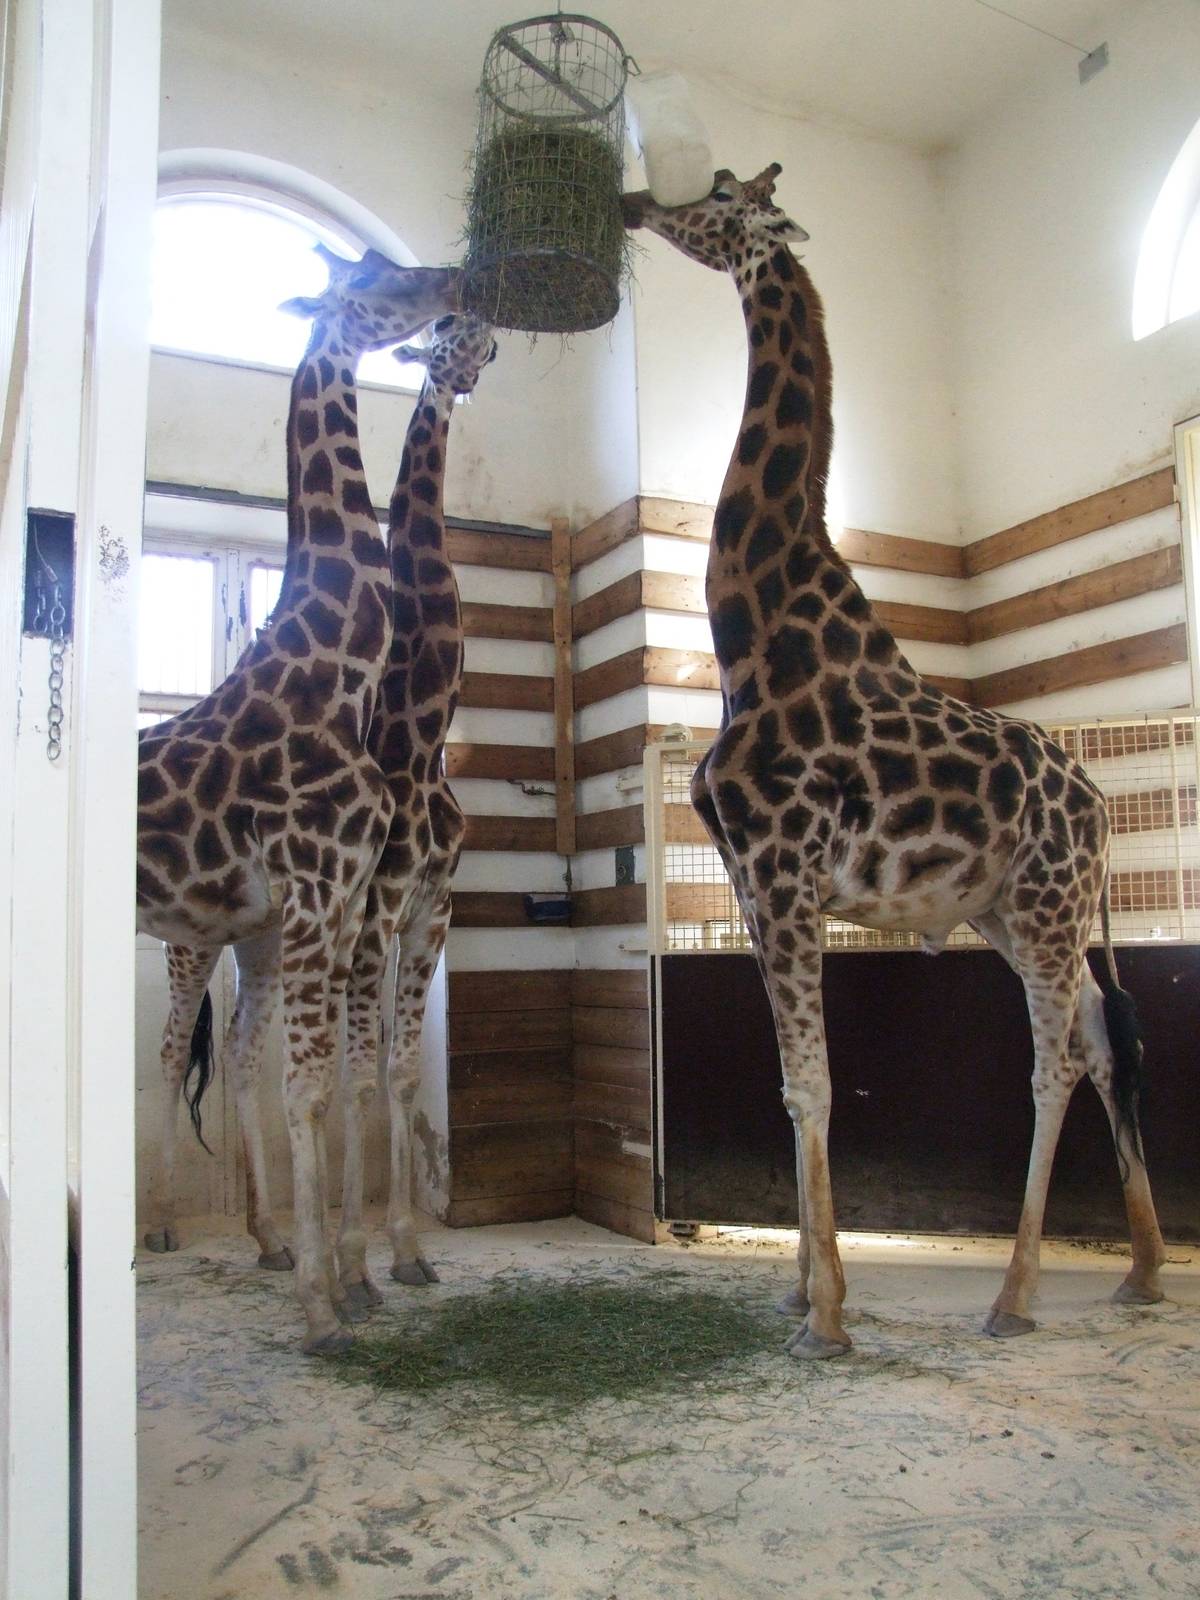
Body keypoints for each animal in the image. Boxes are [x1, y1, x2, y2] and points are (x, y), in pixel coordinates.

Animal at [138, 246, 460, 1353]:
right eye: (375, 286)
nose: (455, 288)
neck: (338, 670)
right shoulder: (331, 893)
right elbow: (317, 1081)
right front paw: (330, 1301)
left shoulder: (353, 901)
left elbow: (326, 1078)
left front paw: (341, 1276)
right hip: (188, 938)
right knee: (172, 1052)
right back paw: (158, 1232)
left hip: (246, 935)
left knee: (227, 1055)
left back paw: (263, 1237)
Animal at [622, 167, 1167, 1357]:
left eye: (717, 195)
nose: (639, 201)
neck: (754, 634)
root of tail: (1103, 807)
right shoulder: (752, 883)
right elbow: (794, 1086)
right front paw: (801, 1289)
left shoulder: (782, 872)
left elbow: (812, 1085)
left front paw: (825, 1314)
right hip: (1015, 912)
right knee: (1104, 1037)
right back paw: (1144, 1272)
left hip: (1047, 907)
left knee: (1057, 1058)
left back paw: (1016, 1295)